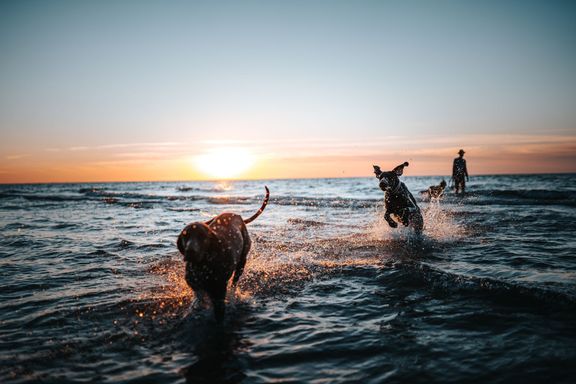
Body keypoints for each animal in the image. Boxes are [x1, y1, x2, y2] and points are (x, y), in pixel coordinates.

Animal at [177, 186, 268, 320]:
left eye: (202, 236)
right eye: (185, 236)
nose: (190, 251)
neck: (203, 265)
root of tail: (238, 216)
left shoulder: (219, 292)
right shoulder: (195, 284)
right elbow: (199, 296)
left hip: (241, 263)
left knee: (234, 284)